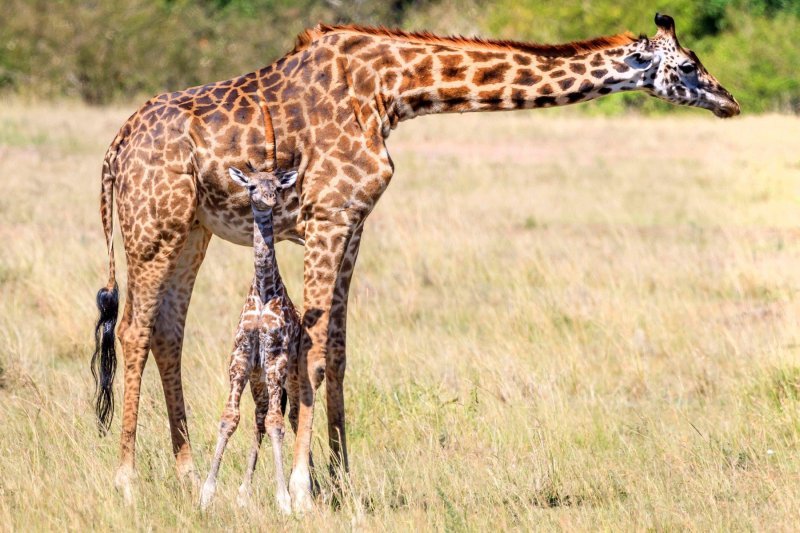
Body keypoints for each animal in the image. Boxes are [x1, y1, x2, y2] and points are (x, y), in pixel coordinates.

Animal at [200, 164, 300, 512]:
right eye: (252, 186)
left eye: (278, 186)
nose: (268, 200)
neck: (263, 290)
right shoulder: (241, 356)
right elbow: (229, 418)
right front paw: (206, 493)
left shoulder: (275, 357)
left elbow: (276, 424)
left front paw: (284, 498)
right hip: (259, 381)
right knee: (258, 418)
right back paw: (244, 492)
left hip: (291, 377)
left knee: (289, 417)